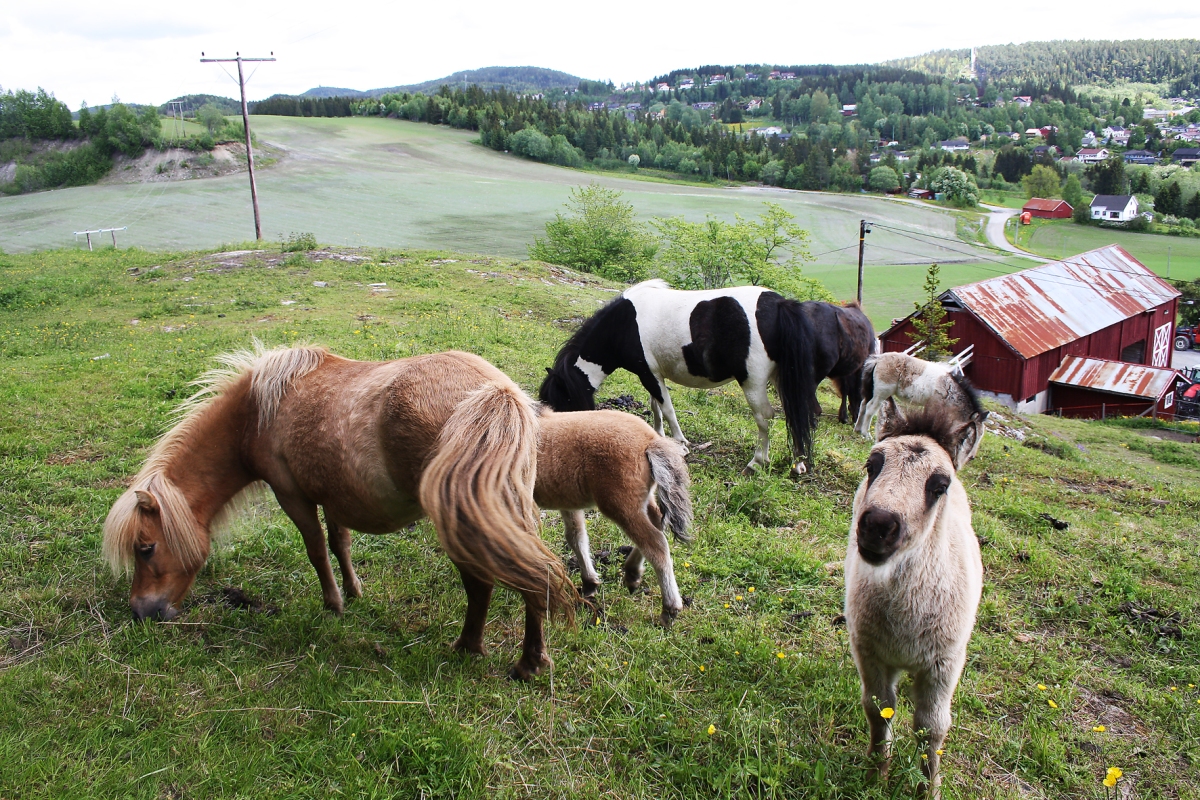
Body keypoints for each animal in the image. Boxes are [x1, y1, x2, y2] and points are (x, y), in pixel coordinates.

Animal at [102, 344, 575, 681]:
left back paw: (470, 648)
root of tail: (496, 394)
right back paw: (531, 662)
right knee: (534, 576)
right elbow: (340, 544)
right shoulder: (335, 497)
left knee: (483, 584)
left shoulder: (293, 496)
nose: (141, 612)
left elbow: (316, 551)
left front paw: (334, 604)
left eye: (146, 548)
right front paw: (354, 591)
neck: (259, 412)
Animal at [315, 408, 694, 627]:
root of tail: (650, 440)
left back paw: (669, 607)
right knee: (658, 524)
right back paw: (631, 574)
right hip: (639, 499)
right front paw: (589, 582)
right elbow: (576, 537)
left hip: (619, 502)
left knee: (656, 543)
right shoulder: (566, 499)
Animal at [539, 279, 875, 474]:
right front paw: (659, 436)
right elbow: (656, 407)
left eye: (562, 402)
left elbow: (667, 408)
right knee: (803, 413)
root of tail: (779, 304)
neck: (624, 323)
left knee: (766, 418)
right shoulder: (652, 374)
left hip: (754, 383)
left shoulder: (650, 373)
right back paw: (799, 461)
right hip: (786, 380)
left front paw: (680, 444)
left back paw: (758, 462)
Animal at [844, 405, 984, 798]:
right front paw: (876, 775)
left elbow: (931, 727)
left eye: (940, 485)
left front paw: (928, 788)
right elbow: (878, 709)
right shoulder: (869, 649)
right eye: (871, 465)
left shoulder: (945, 662)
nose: (878, 525)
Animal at [856, 352, 989, 468]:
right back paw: (865, 434)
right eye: (976, 434)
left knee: (863, 404)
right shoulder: (934, 407)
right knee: (870, 408)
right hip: (882, 393)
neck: (950, 391)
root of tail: (877, 359)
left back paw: (857, 429)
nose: (972, 457)